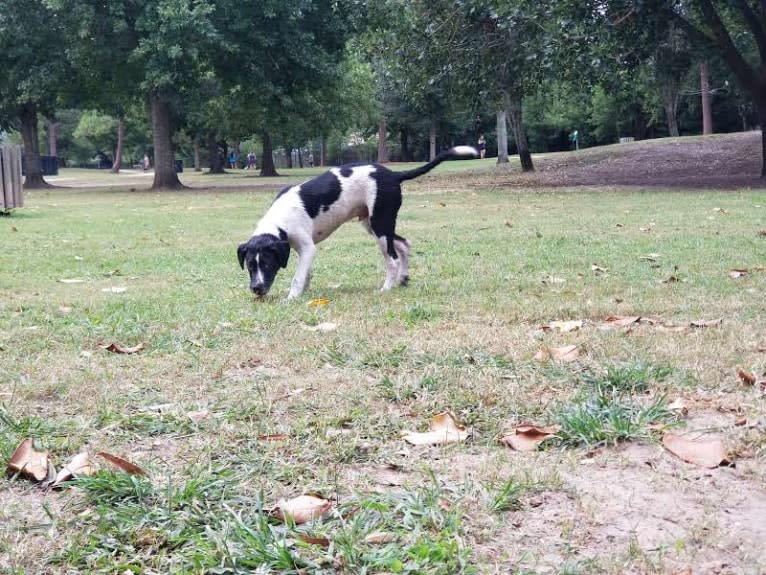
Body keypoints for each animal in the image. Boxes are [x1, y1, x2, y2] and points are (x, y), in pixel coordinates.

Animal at [238, 145, 480, 302]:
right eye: (249, 266)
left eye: (267, 264)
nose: (256, 288)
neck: (279, 220)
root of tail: (394, 175)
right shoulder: (299, 249)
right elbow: (306, 273)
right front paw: (304, 290)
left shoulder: (307, 247)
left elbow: (298, 277)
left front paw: (292, 297)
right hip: (375, 225)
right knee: (404, 244)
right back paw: (402, 278)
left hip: (380, 224)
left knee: (392, 259)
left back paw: (387, 288)